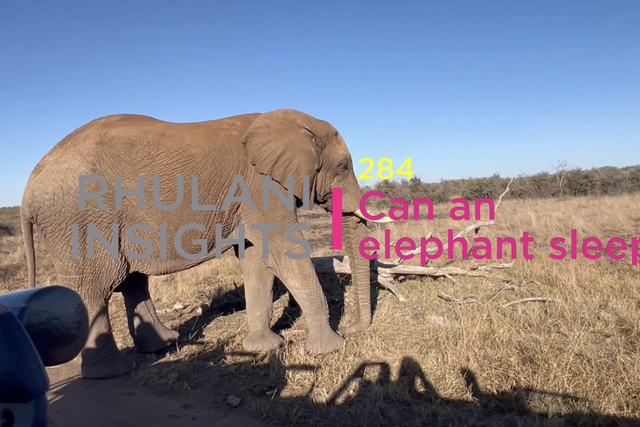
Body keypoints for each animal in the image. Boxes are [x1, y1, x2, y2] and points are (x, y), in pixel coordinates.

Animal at [20, 108, 391, 379]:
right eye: (344, 165)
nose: (356, 327)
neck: (294, 121)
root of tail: (29, 185)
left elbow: (256, 259)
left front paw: (263, 347)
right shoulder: (260, 185)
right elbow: (284, 250)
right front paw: (330, 348)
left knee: (132, 281)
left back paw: (164, 346)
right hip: (79, 219)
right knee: (96, 286)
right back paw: (113, 372)